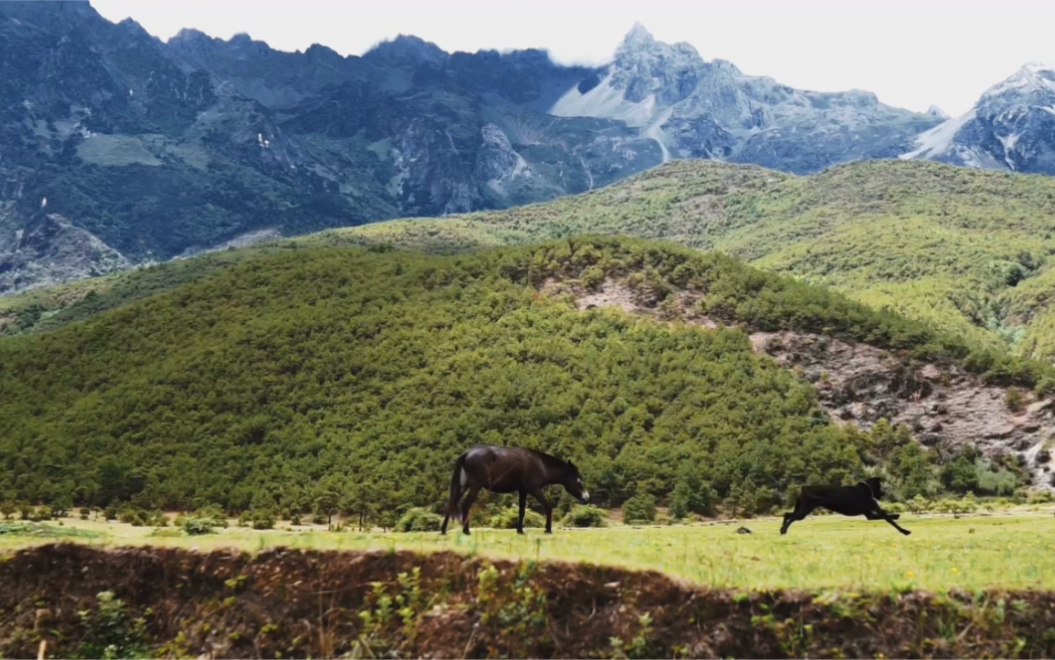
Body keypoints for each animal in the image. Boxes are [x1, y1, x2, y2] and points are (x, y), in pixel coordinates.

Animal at [434, 442, 586, 535]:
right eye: (578, 480)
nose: (586, 497)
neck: (541, 464)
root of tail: (467, 453)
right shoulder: (534, 489)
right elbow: (547, 506)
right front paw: (548, 529)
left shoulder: (523, 491)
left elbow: (521, 511)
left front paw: (520, 530)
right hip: (475, 486)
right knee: (466, 505)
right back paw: (466, 530)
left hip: (463, 486)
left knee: (451, 503)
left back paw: (443, 530)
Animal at [780, 474, 911, 531]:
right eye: (880, 486)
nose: (883, 494)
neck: (867, 488)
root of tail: (803, 488)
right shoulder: (875, 510)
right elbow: (890, 520)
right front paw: (905, 531)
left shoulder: (869, 515)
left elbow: (888, 517)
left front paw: (896, 515)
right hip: (805, 509)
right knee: (791, 517)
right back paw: (783, 530)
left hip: (802, 508)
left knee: (787, 514)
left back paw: (782, 528)